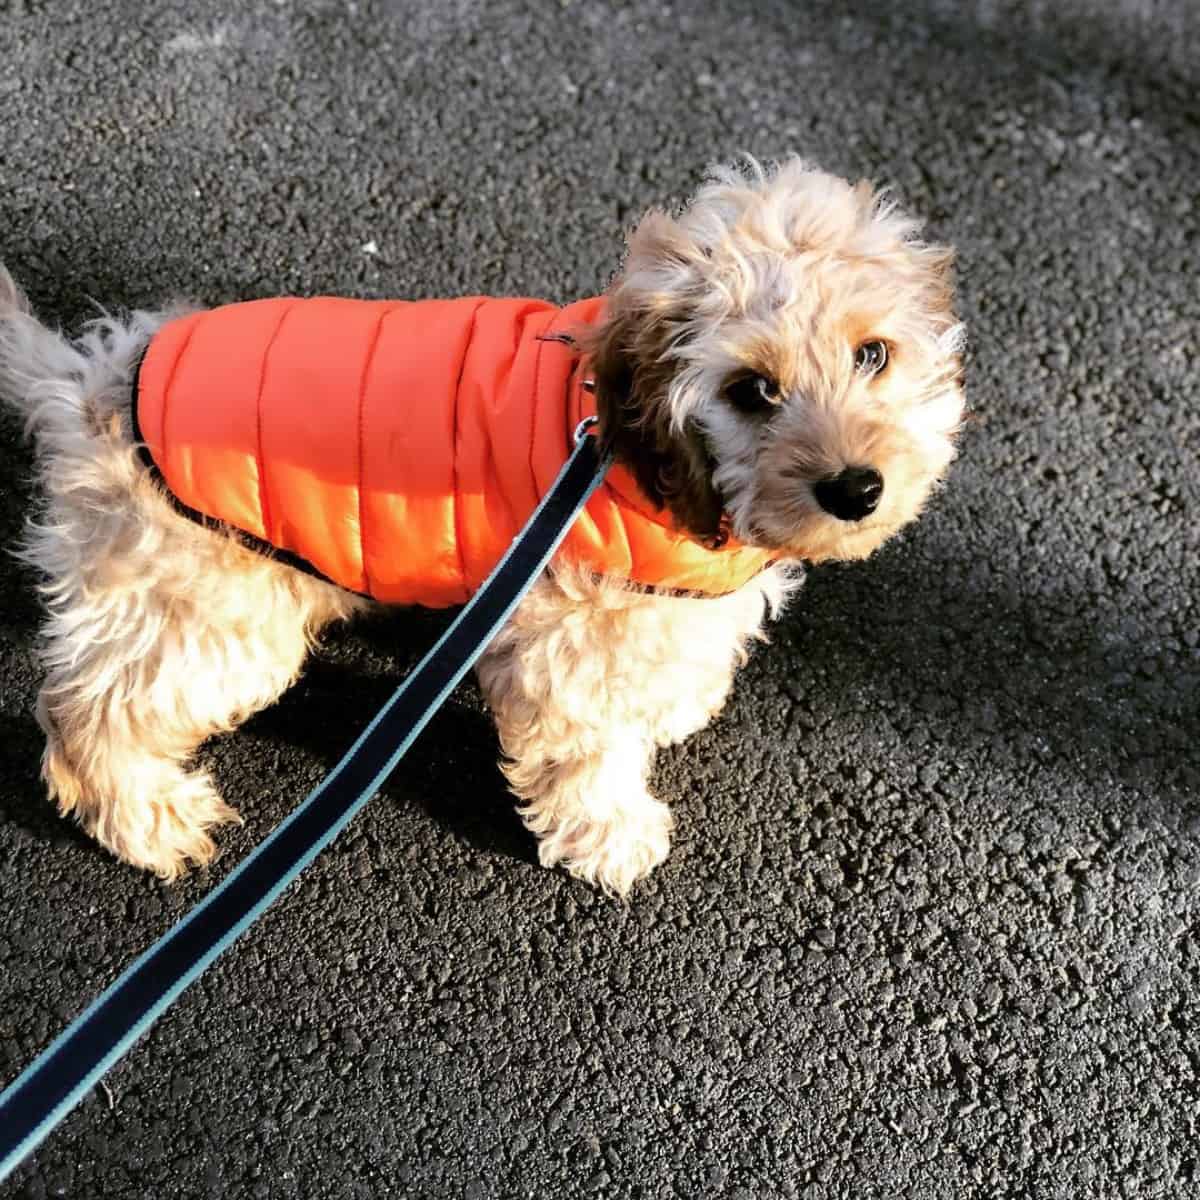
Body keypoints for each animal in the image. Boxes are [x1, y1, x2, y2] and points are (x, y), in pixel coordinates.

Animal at [0, 157, 964, 892]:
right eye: (751, 389)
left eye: (873, 353)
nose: (857, 489)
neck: (622, 449)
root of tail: (90, 383)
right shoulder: (573, 638)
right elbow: (586, 750)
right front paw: (613, 834)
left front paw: (681, 703)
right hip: (211, 613)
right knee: (88, 709)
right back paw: (146, 814)